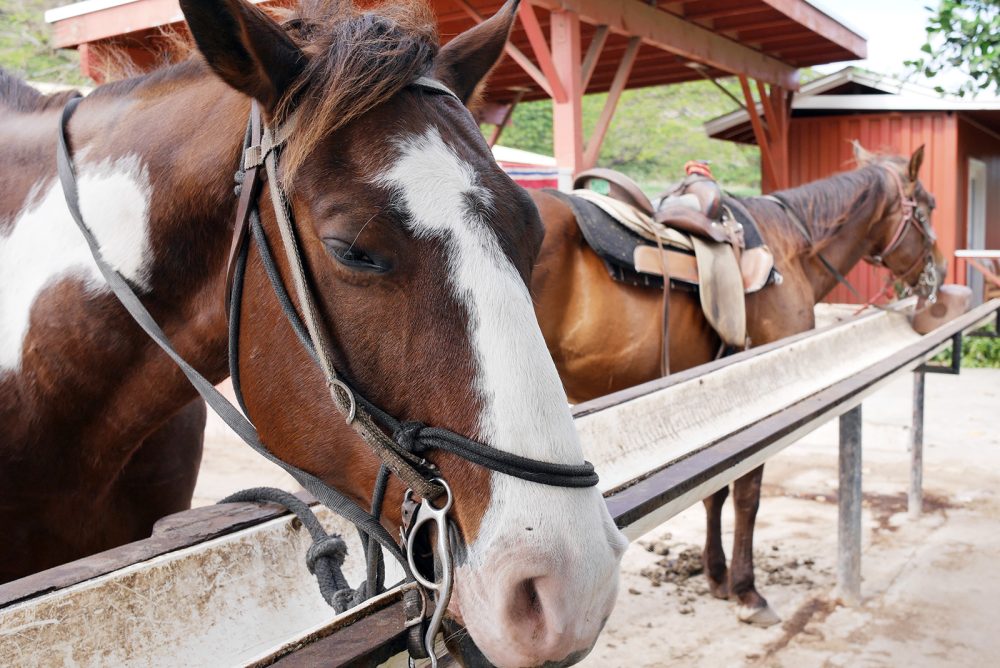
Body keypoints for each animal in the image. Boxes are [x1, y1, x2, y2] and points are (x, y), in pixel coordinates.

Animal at [532, 146, 944, 628]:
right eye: (928, 208)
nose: (940, 271)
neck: (793, 249)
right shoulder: (760, 397)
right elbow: (748, 496)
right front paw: (747, 590)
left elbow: (716, 495)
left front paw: (716, 575)